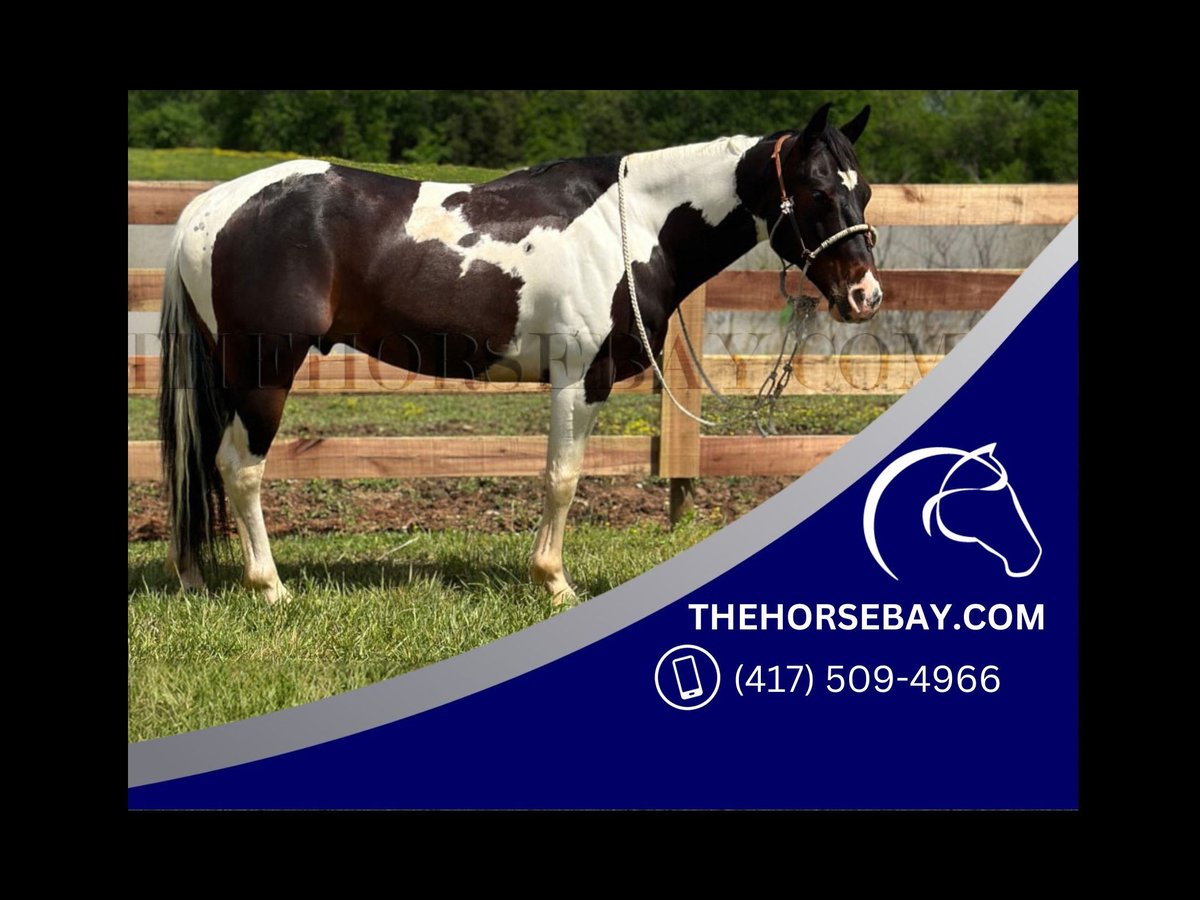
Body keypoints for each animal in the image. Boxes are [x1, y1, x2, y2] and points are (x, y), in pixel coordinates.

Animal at [159, 102, 882, 604]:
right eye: (818, 191)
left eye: (865, 190)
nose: (865, 295)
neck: (633, 227)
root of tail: (210, 207)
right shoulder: (577, 379)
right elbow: (561, 479)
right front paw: (554, 583)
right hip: (263, 372)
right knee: (240, 468)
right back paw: (270, 587)